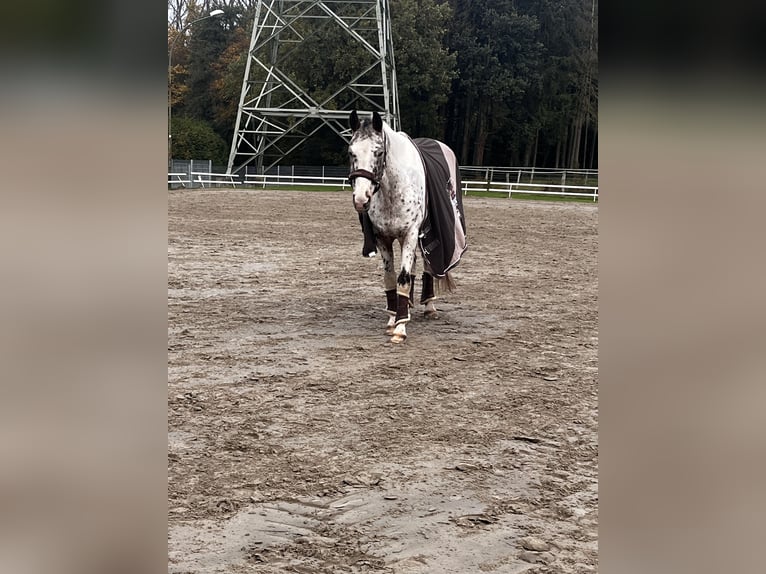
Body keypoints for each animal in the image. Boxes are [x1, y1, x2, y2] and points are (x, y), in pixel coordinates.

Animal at [348, 110, 468, 344]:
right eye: (351, 152)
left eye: (379, 152)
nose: (361, 199)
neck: (393, 189)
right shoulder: (382, 238)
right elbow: (391, 278)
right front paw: (393, 318)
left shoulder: (412, 233)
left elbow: (403, 277)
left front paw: (400, 328)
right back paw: (409, 304)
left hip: (424, 236)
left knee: (428, 267)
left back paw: (429, 307)